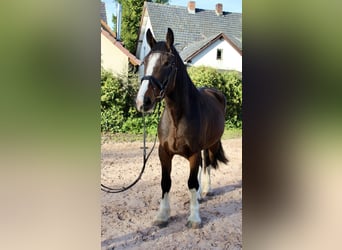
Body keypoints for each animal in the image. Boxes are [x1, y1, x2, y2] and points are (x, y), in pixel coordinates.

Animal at [135, 27, 228, 229]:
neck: (177, 117)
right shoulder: (164, 153)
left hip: (211, 144)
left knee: (207, 164)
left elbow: (191, 182)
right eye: (145, 61)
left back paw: (206, 190)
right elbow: (165, 182)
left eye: (167, 63)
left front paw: (194, 218)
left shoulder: (193, 153)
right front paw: (162, 216)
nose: (142, 102)